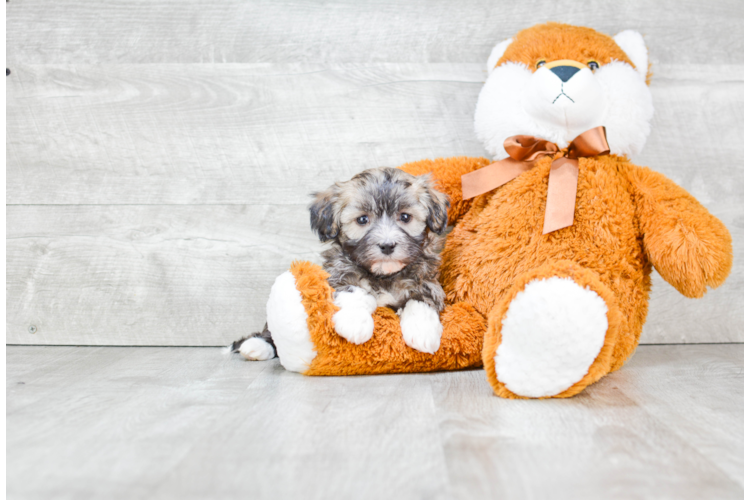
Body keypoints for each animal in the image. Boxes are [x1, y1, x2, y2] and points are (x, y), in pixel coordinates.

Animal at [232, 167, 450, 360]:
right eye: (362, 220)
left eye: (405, 217)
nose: (387, 245)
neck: (382, 275)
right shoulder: (336, 277)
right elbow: (355, 292)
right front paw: (355, 323)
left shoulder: (427, 283)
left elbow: (420, 302)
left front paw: (423, 332)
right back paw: (256, 345)